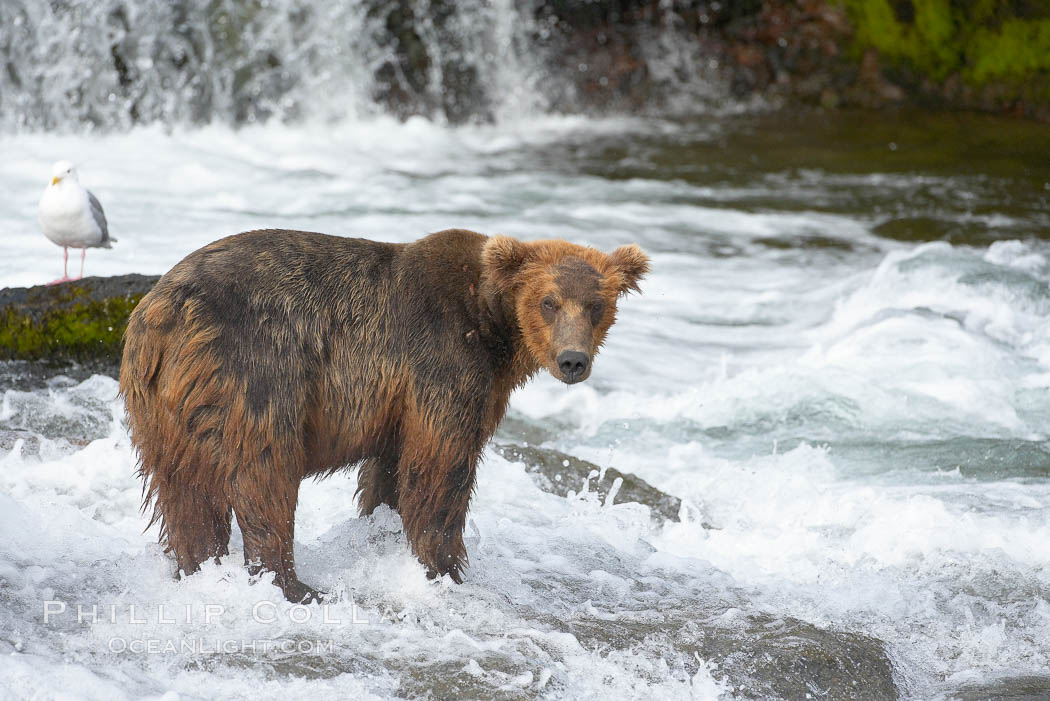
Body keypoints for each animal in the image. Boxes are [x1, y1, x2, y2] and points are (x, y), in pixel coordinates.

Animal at [120, 227, 646, 600]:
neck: (492, 325)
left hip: (160, 401)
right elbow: (441, 467)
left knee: (183, 488)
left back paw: (198, 567)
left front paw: (387, 538)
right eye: (548, 301)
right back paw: (294, 584)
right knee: (263, 471)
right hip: (257, 368)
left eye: (597, 305)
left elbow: (390, 472)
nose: (572, 360)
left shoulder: (399, 404)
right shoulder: (443, 359)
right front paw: (448, 567)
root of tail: (163, 309)